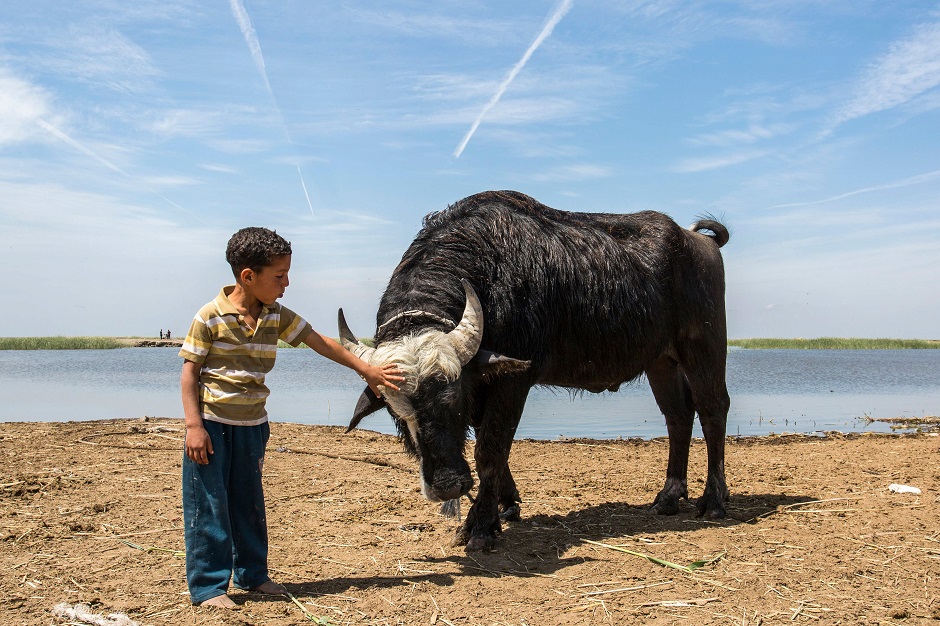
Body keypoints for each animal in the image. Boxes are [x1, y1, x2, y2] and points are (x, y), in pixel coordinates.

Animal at [342, 189, 732, 544]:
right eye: (398, 414)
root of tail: (698, 240)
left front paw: (480, 526)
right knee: (678, 415)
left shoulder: (513, 382)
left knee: (713, 409)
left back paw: (713, 501)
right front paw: (506, 504)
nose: (448, 486)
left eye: (454, 400)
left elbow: (491, 449)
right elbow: (491, 446)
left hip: (704, 346)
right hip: (660, 361)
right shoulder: (485, 382)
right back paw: (668, 496)